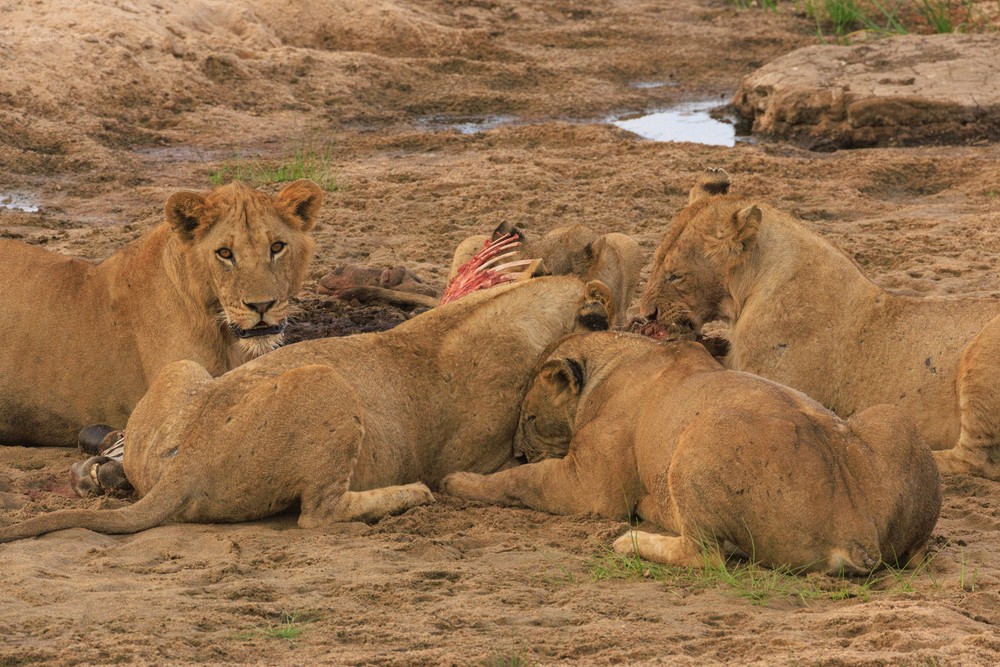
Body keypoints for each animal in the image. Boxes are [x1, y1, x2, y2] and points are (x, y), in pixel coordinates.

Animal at [0, 276, 618, 542]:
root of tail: (187, 463)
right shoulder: (494, 455)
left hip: (183, 369)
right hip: (327, 382)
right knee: (318, 513)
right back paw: (410, 496)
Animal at [442, 332, 941, 574]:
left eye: (527, 417)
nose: (516, 448)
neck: (619, 358)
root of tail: (858, 532)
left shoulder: (589, 488)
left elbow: (520, 482)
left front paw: (457, 480)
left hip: (703, 433)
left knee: (705, 557)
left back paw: (631, 540)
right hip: (891, 419)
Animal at [637, 168, 1000, 480]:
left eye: (676, 275)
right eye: (654, 260)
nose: (647, 314)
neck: (752, 286)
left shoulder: (769, 381)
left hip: (982, 356)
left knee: (977, 460)